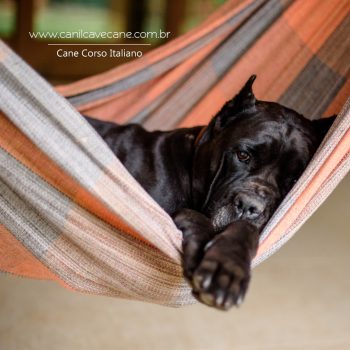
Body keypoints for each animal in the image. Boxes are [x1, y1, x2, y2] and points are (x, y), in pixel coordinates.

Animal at [84, 76, 334, 308]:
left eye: (294, 179)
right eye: (243, 155)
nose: (249, 206)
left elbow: (245, 230)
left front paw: (228, 267)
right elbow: (196, 215)